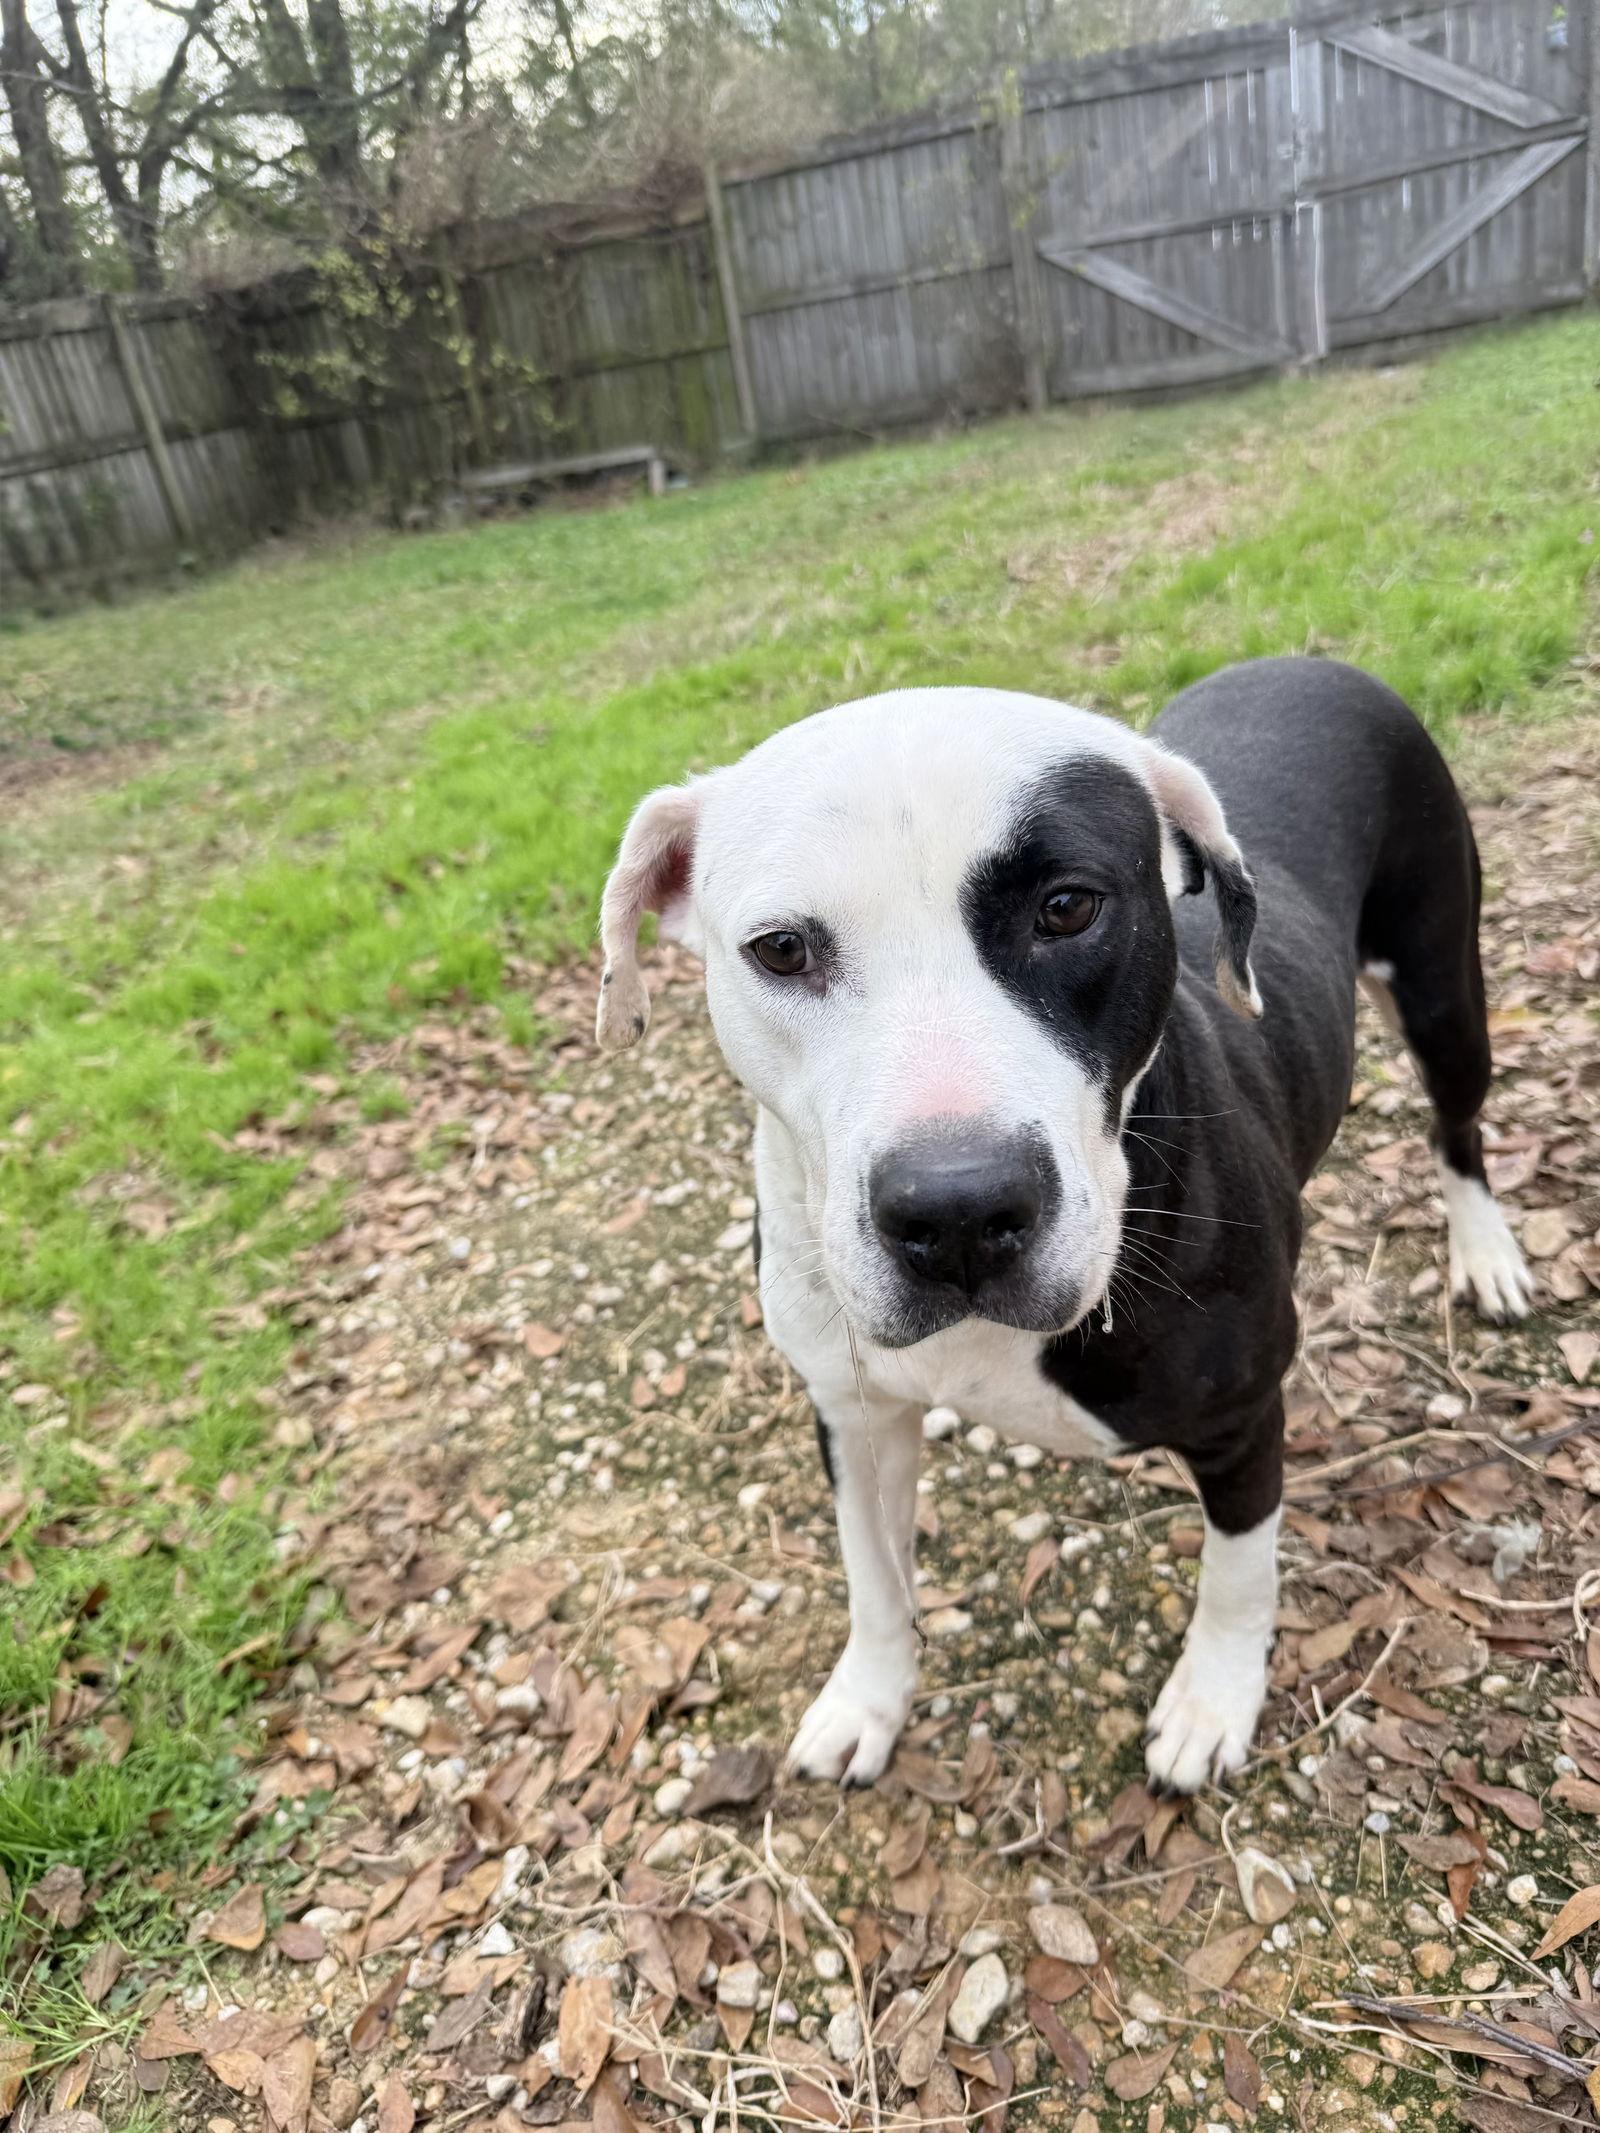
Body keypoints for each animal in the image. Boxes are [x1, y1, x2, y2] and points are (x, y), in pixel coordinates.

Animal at [595, 657, 1532, 1793]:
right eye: (779, 950)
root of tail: (1309, 659)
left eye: (1068, 907)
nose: (957, 1210)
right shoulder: (853, 1417)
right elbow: (872, 1576)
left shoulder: (1242, 1417)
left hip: (1441, 985)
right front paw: (868, 1698)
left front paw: (1213, 1701)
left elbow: (1238, 1572)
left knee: (1457, 1124)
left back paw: (1485, 1254)